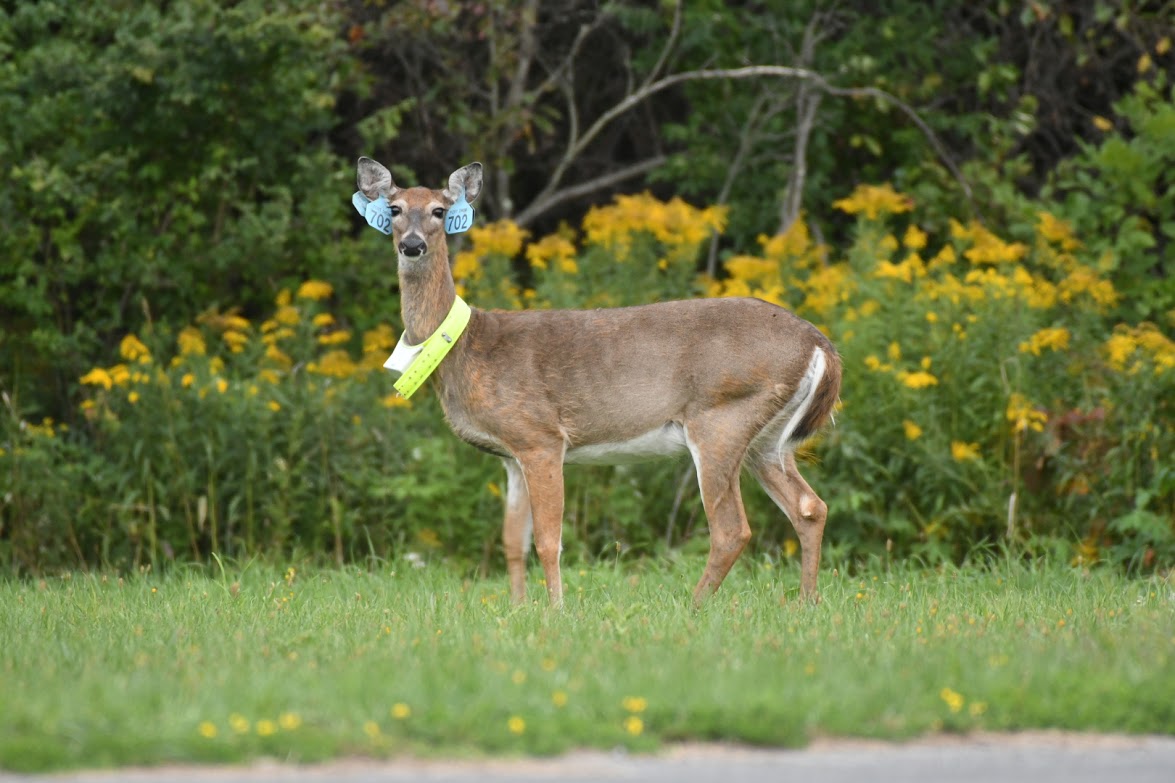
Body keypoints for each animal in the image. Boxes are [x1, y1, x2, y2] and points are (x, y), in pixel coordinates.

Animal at [352, 157, 841, 601]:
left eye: (438, 210)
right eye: (394, 208)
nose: (412, 245)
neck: (462, 347)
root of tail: (820, 344)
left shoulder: (541, 437)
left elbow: (548, 541)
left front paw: (554, 612)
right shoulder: (511, 454)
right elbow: (513, 542)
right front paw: (517, 609)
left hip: (722, 418)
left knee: (731, 529)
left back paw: (695, 607)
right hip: (766, 439)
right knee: (810, 507)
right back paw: (806, 602)